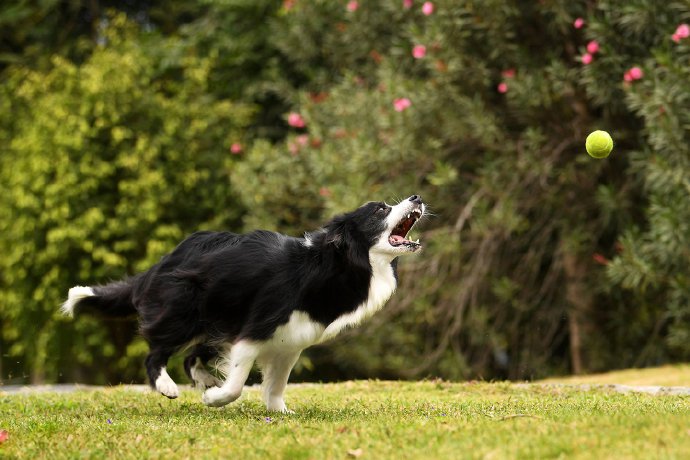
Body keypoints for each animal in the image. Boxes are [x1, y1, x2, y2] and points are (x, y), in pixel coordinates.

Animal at [60, 196, 424, 412]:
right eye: (380, 210)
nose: (417, 197)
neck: (331, 264)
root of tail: (159, 264)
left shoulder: (292, 339)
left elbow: (276, 384)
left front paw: (280, 413)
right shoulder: (256, 328)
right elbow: (237, 382)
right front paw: (215, 398)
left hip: (217, 315)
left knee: (192, 356)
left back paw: (203, 378)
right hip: (183, 308)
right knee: (157, 352)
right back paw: (168, 385)